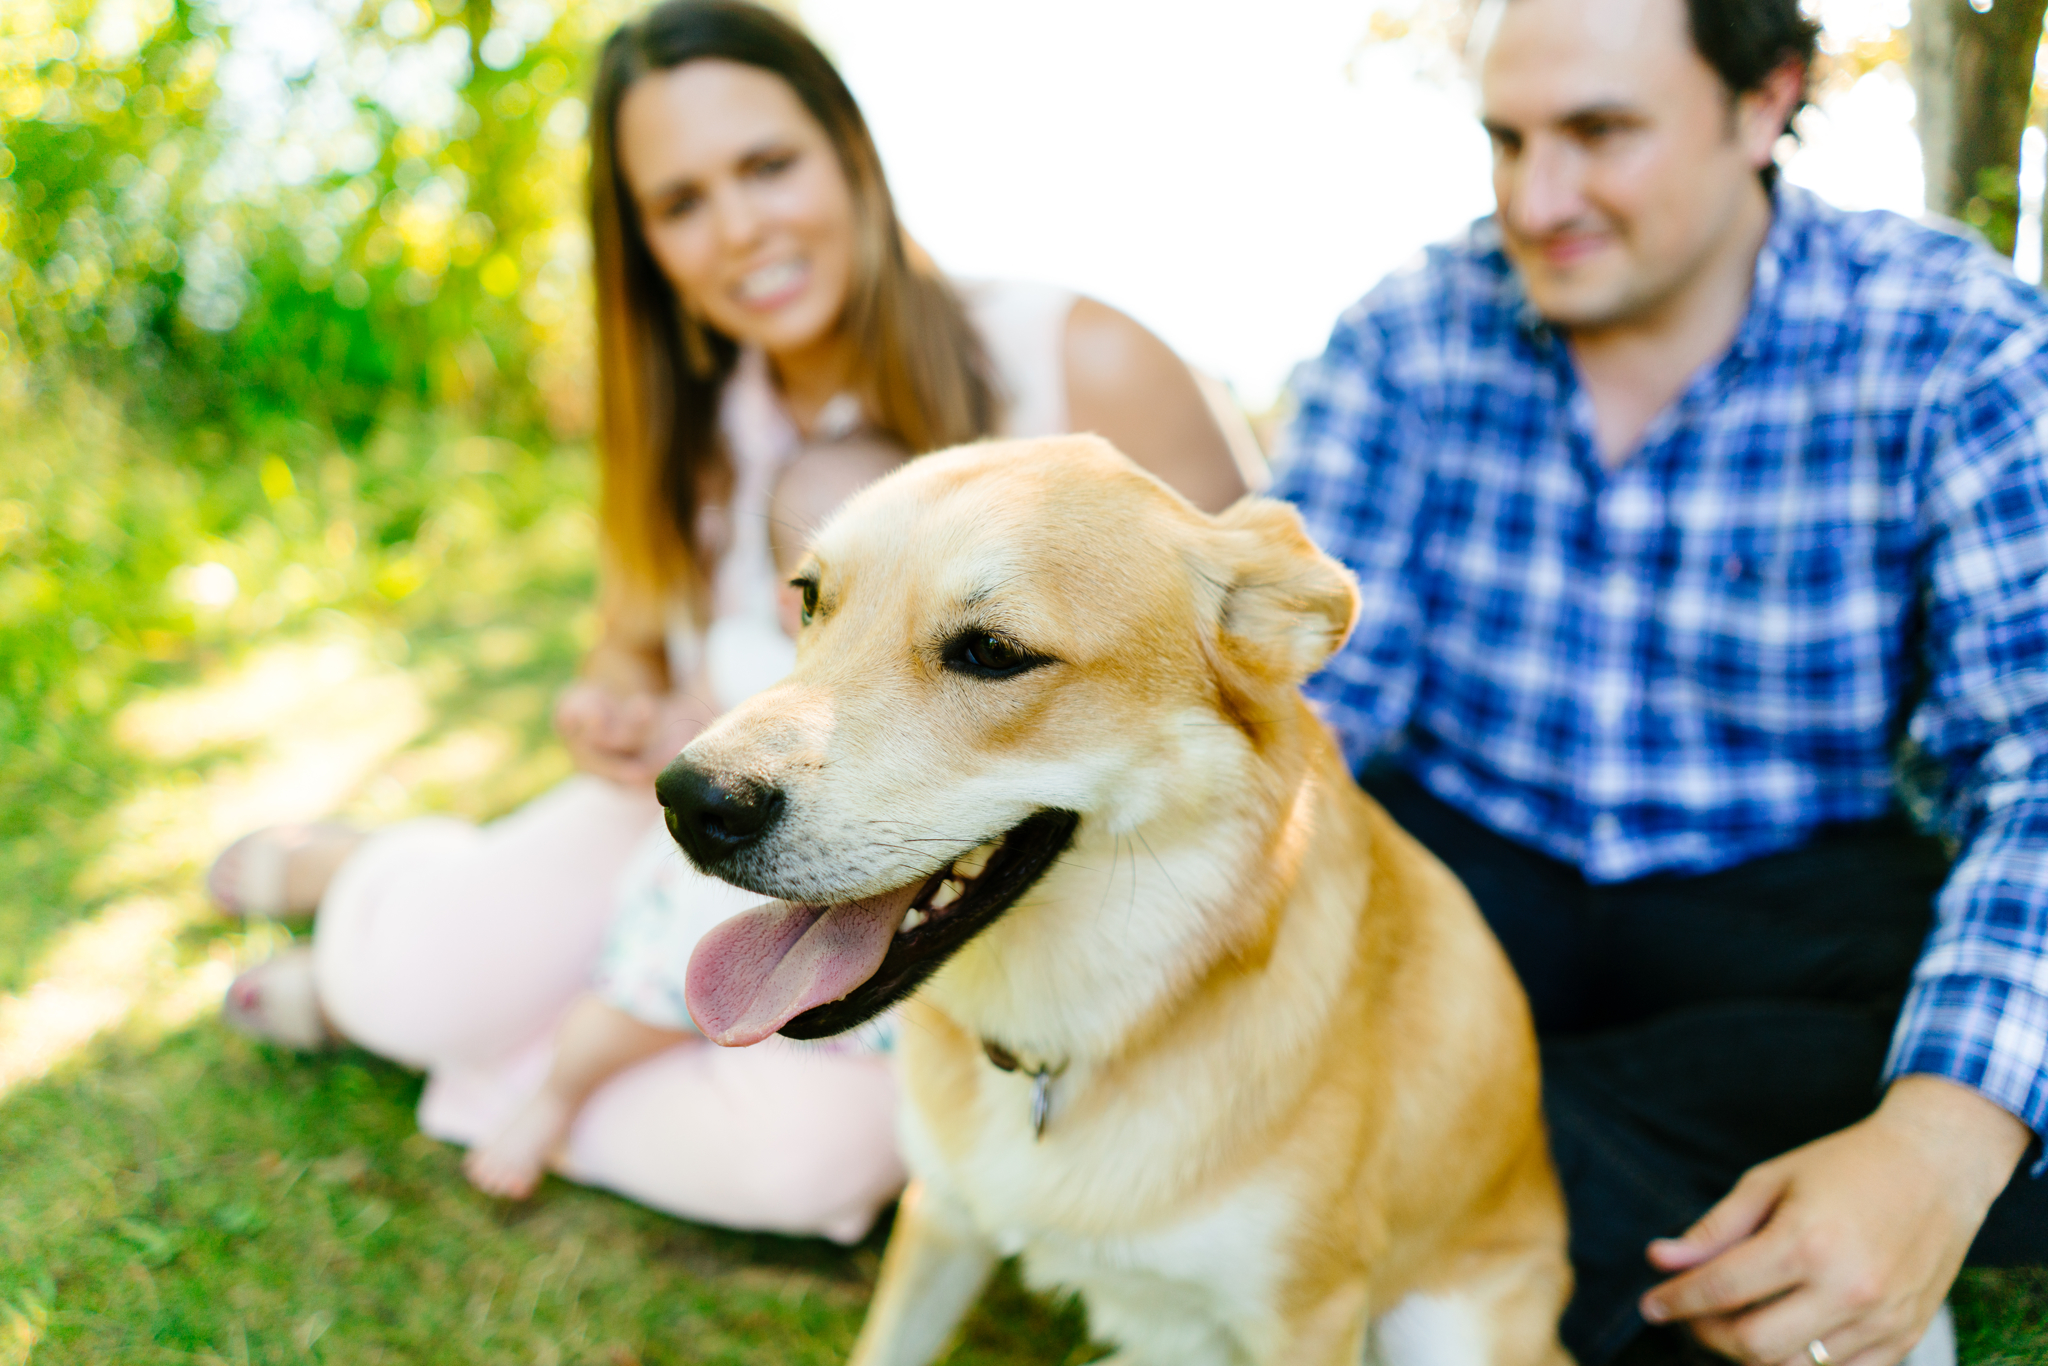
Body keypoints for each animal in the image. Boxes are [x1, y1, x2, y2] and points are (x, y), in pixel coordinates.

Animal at [663, 438, 1572, 1366]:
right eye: (810, 597)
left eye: (992, 652)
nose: (691, 802)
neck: (1092, 1028)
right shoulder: (942, 1216)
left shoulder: (1308, 1316)